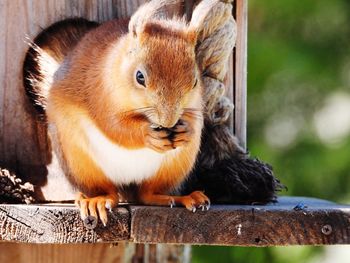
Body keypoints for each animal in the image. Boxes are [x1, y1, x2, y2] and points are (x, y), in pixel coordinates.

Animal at [25, 2, 211, 225]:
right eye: (140, 77)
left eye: (195, 81)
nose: (168, 121)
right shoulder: (100, 94)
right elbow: (114, 126)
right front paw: (146, 134)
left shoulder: (195, 103)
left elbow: (193, 118)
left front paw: (186, 130)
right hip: (80, 162)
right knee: (108, 193)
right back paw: (95, 201)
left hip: (175, 166)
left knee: (147, 194)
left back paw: (182, 198)